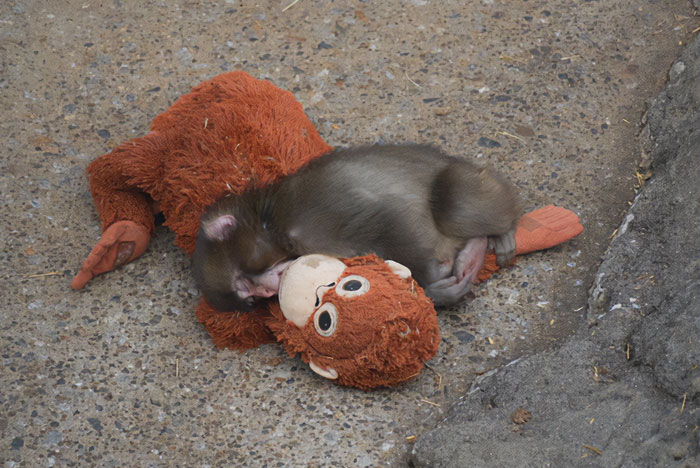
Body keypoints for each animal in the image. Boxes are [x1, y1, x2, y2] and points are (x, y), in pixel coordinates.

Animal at [192, 144, 521, 312]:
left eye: (244, 284)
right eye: (251, 297)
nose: (268, 290)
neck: (270, 222)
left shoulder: (310, 213)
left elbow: (386, 217)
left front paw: (429, 283)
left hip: (470, 182)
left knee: (454, 204)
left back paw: (499, 232)